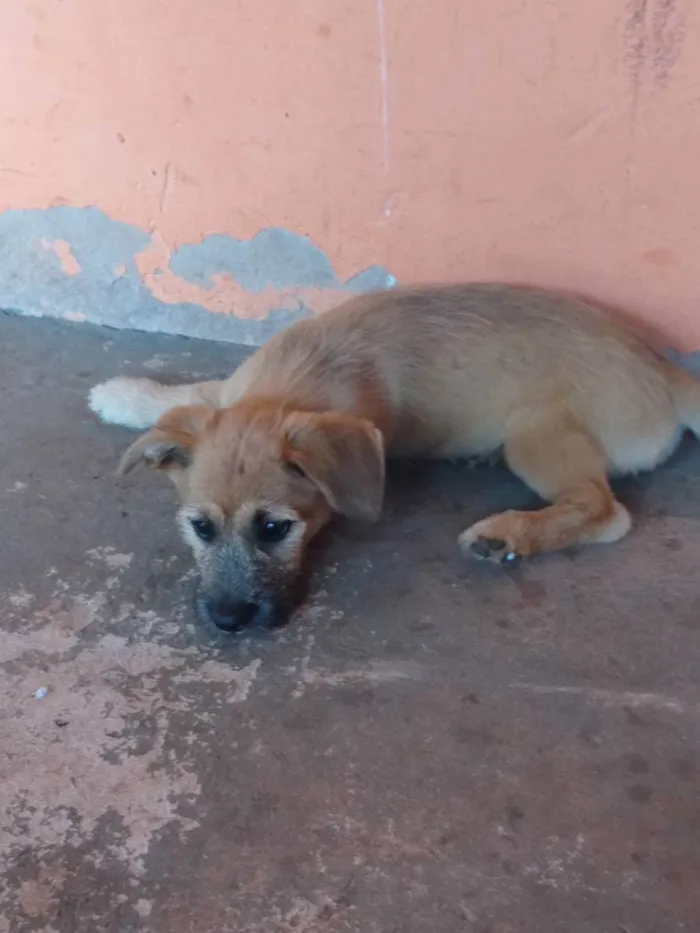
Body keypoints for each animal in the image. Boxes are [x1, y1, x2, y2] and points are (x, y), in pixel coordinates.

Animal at [89, 284, 700, 632]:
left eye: (274, 528)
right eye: (200, 528)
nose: (227, 621)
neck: (301, 379)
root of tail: (666, 372)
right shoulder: (233, 392)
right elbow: (191, 396)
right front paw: (124, 395)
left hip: (533, 434)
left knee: (606, 512)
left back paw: (506, 534)